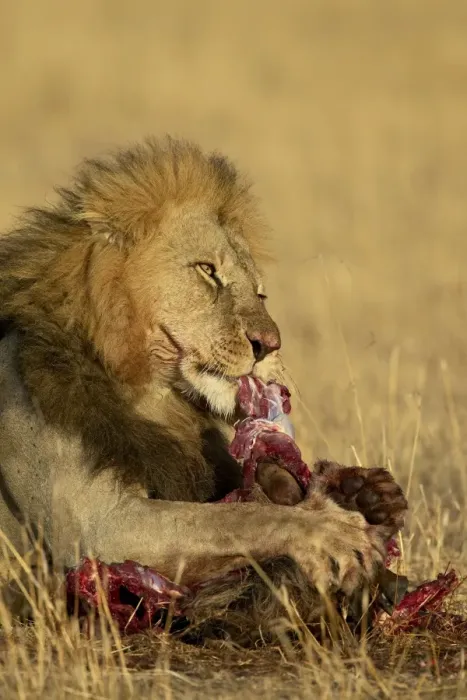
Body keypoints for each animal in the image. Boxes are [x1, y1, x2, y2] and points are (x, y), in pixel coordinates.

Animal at [0, 136, 407, 642]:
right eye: (208, 271)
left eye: (260, 292)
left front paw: (363, 493)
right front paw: (334, 531)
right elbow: (230, 519)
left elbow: (235, 507)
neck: (151, 394)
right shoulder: (99, 529)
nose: (270, 344)